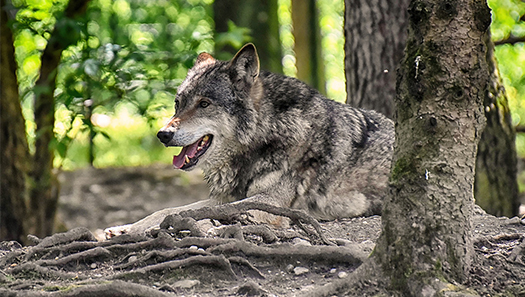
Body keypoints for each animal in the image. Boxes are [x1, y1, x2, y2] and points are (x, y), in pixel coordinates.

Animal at [105, 42, 392, 237]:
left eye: (204, 104)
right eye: (178, 103)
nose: (163, 134)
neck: (264, 137)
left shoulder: (269, 204)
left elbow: (203, 213)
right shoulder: (227, 196)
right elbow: (167, 210)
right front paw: (125, 228)